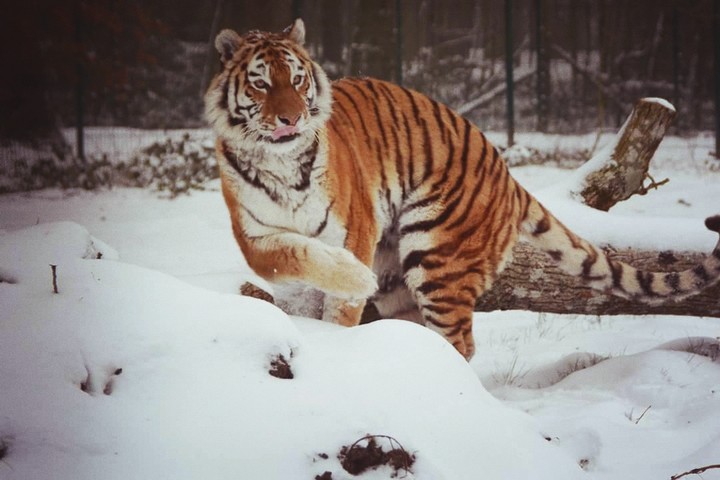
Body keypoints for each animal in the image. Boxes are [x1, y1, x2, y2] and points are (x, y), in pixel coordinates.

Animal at [204, 19, 720, 360]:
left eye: (296, 79)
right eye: (261, 83)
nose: (291, 119)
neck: (281, 163)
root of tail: (506, 172)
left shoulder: (355, 227)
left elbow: (341, 302)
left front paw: (346, 307)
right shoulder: (254, 237)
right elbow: (291, 259)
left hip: (438, 258)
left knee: (461, 342)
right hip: (400, 276)